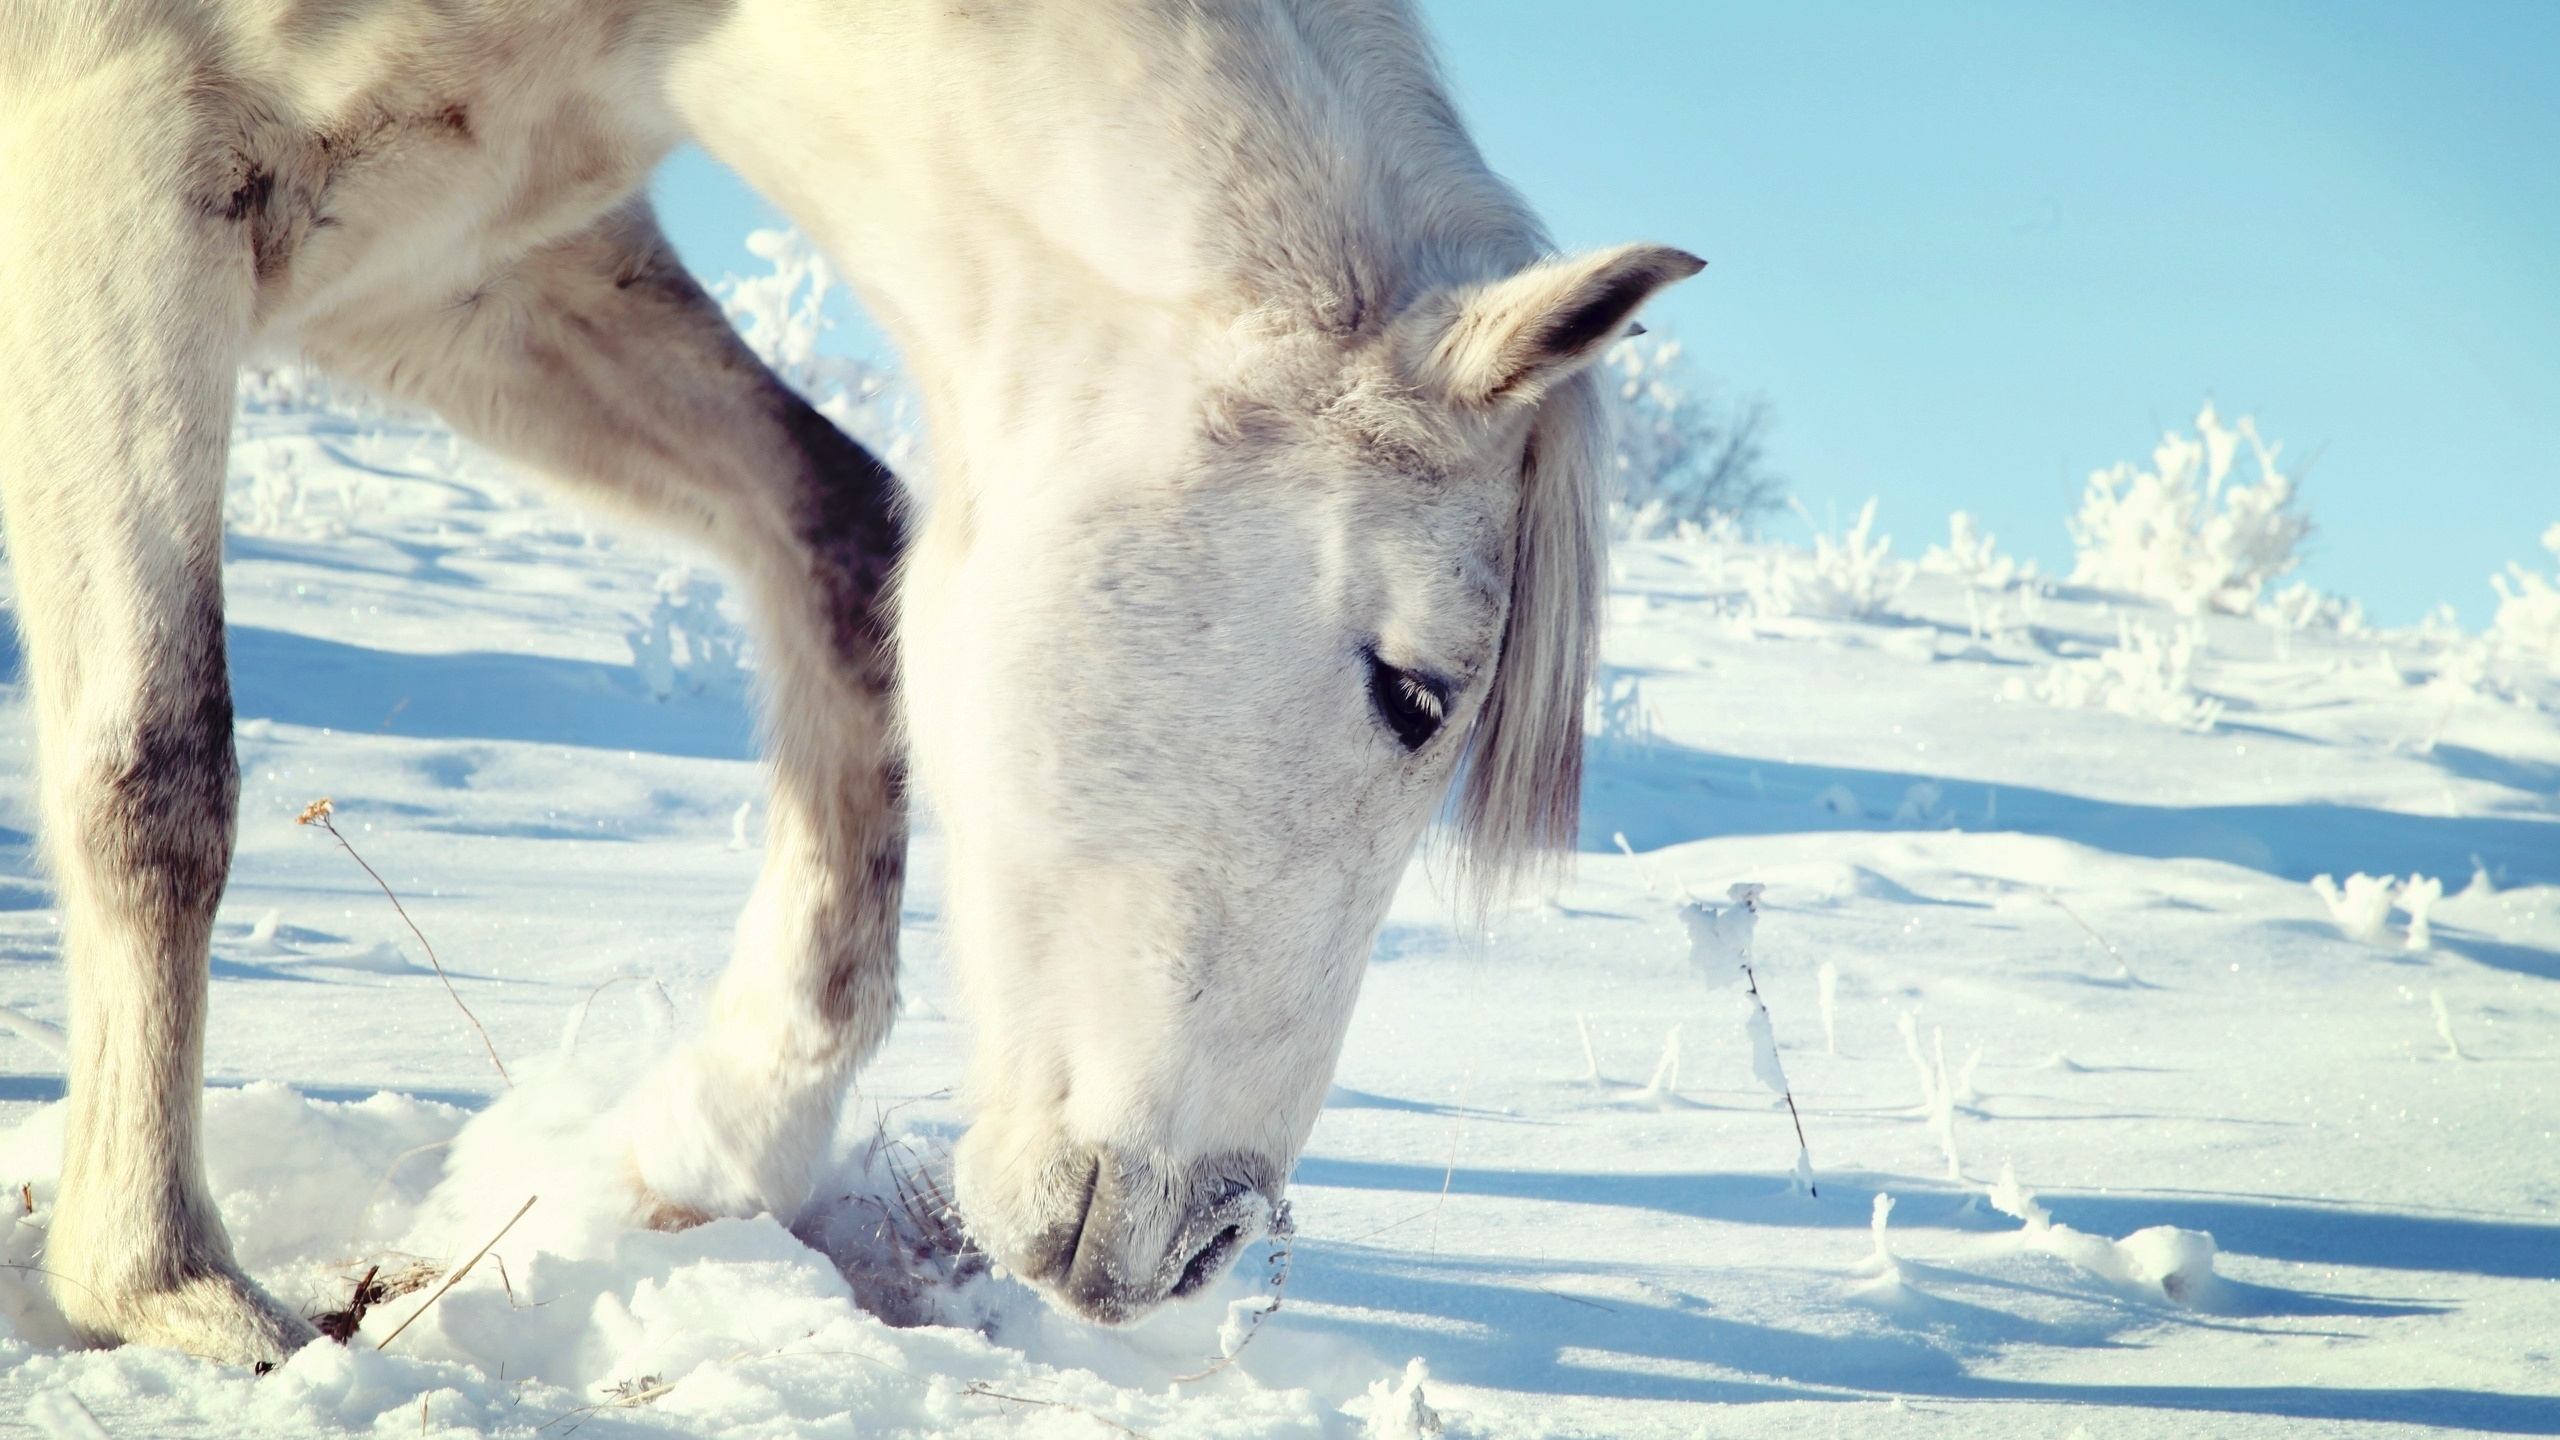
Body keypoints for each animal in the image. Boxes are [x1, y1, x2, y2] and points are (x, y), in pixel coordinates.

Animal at [0, 0, 1698, 1365]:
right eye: (1413, 690)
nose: (1204, 1247)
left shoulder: (457, 264)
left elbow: (842, 536)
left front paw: (711, 1144)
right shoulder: (123, 166)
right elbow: (157, 768)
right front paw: (163, 1287)